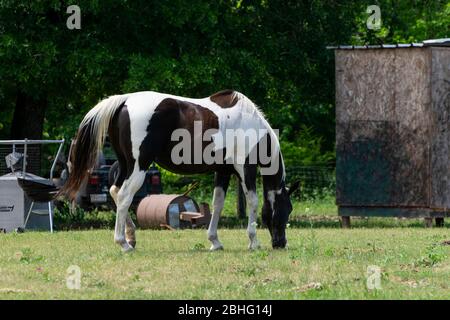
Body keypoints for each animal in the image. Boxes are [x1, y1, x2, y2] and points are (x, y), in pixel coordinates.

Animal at [59, 90, 298, 252]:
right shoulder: (244, 168)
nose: (281, 243)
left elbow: (217, 204)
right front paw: (253, 241)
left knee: (115, 192)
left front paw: (215, 241)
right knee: (125, 196)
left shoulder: (223, 171)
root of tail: (125, 100)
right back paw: (123, 243)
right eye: (287, 209)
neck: (253, 127)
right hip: (139, 165)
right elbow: (253, 202)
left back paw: (131, 238)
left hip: (126, 164)